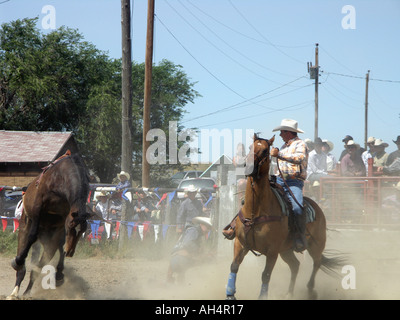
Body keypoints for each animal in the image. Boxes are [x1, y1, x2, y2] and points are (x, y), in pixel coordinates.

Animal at [7, 152, 89, 300]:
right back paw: (14, 291)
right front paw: (17, 262)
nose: (71, 252)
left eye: (83, 231)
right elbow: (32, 237)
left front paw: (59, 274)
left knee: (38, 268)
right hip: (24, 229)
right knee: (24, 258)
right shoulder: (38, 207)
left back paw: (29, 292)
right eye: (71, 227)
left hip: (49, 243)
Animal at [225, 134, 344, 300]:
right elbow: (234, 266)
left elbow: (266, 275)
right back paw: (289, 293)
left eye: (265, 150)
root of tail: (318, 207)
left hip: (316, 244)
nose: (248, 166)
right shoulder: (241, 243)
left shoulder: (272, 250)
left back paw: (310, 290)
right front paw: (230, 294)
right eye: (250, 147)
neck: (256, 211)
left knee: (317, 262)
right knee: (295, 265)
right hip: (286, 250)